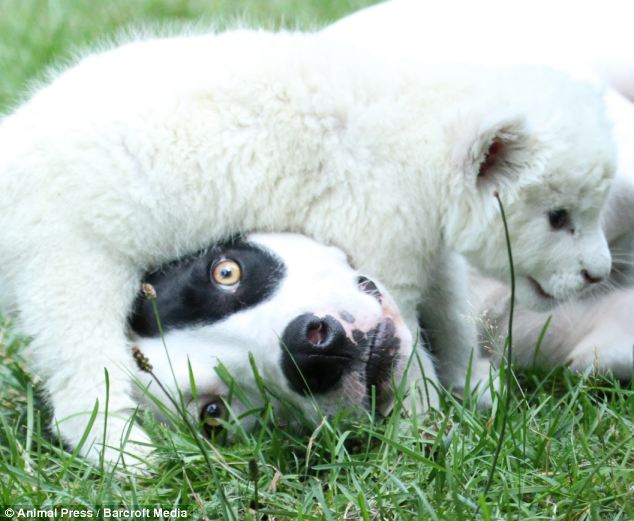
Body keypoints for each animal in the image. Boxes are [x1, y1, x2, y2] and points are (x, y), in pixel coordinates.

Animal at [0, 30, 612, 466]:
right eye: (558, 217)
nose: (599, 273)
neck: (416, 130)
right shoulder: (378, 241)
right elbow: (410, 349)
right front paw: (427, 431)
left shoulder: (426, 250)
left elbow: (452, 313)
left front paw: (473, 383)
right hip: (68, 270)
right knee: (80, 378)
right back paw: (126, 457)